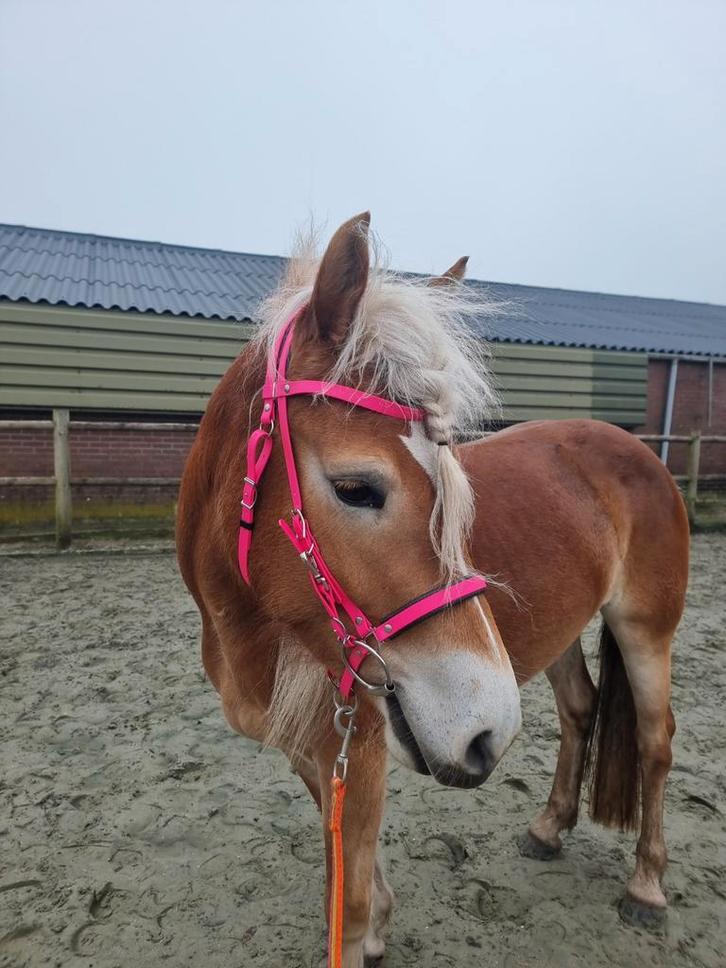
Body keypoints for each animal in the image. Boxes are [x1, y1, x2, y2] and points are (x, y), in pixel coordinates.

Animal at [176, 213, 689, 967]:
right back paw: (549, 828)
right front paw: (380, 923)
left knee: (655, 743)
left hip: (647, 630)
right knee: (580, 709)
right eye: (356, 488)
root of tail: (636, 449)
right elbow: (344, 877)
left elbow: (348, 904)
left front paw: (367, 929)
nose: (487, 731)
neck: (257, 629)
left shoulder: (355, 754)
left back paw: (647, 886)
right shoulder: (319, 758)